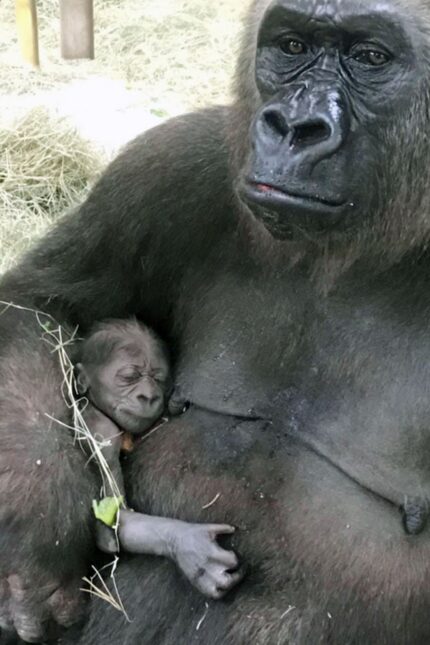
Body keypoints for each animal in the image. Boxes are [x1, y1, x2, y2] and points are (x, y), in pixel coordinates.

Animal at [73, 318, 242, 600]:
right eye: (129, 377)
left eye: (159, 379)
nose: (149, 396)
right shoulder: (101, 432)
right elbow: (114, 524)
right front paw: (190, 546)